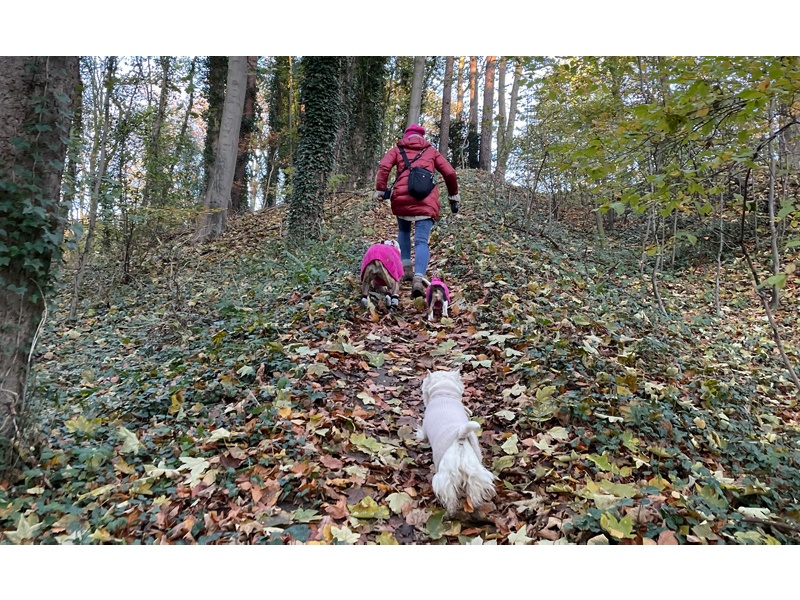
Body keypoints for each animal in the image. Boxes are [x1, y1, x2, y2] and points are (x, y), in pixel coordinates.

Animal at [418, 368, 494, 512]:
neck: (444, 393)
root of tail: (460, 436)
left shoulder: (424, 428)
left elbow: (422, 434)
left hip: (446, 474)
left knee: (449, 494)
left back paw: (451, 509)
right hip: (474, 470)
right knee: (475, 488)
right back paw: (475, 504)